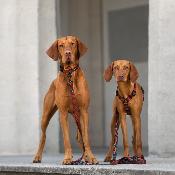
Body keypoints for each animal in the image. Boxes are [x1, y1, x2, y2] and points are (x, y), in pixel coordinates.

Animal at [32, 36, 98, 165]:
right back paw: (38, 156)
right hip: (45, 116)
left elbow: (86, 138)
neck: (70, 74)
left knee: (80, 136)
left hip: (78, 116)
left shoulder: (84, 111)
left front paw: (91, 157)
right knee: (43, 136)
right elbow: (66, 139)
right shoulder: (63, 113)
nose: (68, 53)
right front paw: (67, 158)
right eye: (61, 45)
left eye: (72, 44)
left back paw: (85, 157)